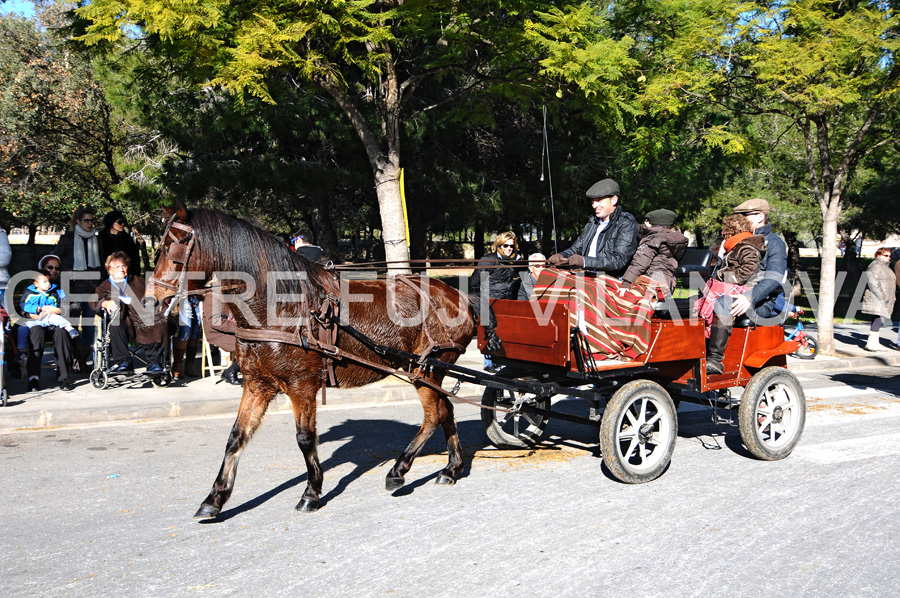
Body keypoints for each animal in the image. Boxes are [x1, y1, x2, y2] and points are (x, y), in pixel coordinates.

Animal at [151, 204, 474, 516]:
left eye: (174, 245)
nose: (153, 298)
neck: (282, 306)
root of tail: (458, 296)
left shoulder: (301, 385)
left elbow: (305, 438)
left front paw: (311, 492)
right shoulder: (257, 384)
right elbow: (236, 436)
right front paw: (215, 497)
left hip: (425, 370)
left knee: (433, 416)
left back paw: (399, 470)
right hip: (426, 372)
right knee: (445, 410)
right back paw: (451, 468)